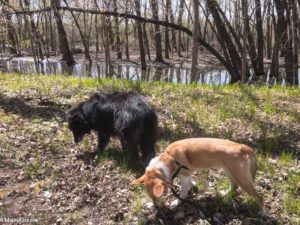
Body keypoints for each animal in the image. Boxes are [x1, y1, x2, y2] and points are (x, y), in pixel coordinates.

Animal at [131, 138, 264, 215]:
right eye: (151, 196)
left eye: (157, 195)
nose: (156, 208)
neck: (169, 158)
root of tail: (244, 147)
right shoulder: (187, 176)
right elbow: (191, 183)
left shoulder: (185, 177)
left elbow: (182, 193)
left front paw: (177, 202)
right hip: (230, 172)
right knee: (234, 186)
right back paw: (225, 194)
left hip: (242, 179)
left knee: (259, 197)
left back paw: (262, 212)